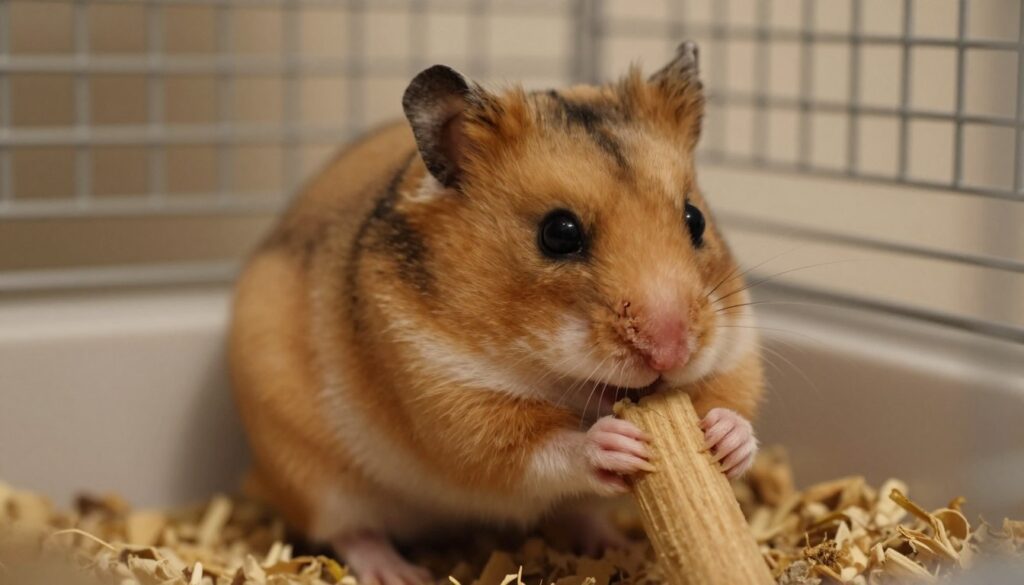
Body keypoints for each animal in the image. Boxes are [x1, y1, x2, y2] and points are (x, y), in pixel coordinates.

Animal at [228, 41, 763, 585]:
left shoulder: (736, 347)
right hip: (313, 475)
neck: (560, 376)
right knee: (353, 533)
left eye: (695, 219)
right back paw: (400, 573)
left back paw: (613, 544)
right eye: (559, 233)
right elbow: (537, 449)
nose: (671, 352)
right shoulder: (449, 397)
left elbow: (734, 401)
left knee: (579, 513)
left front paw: (725, 437)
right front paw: (618, 443)